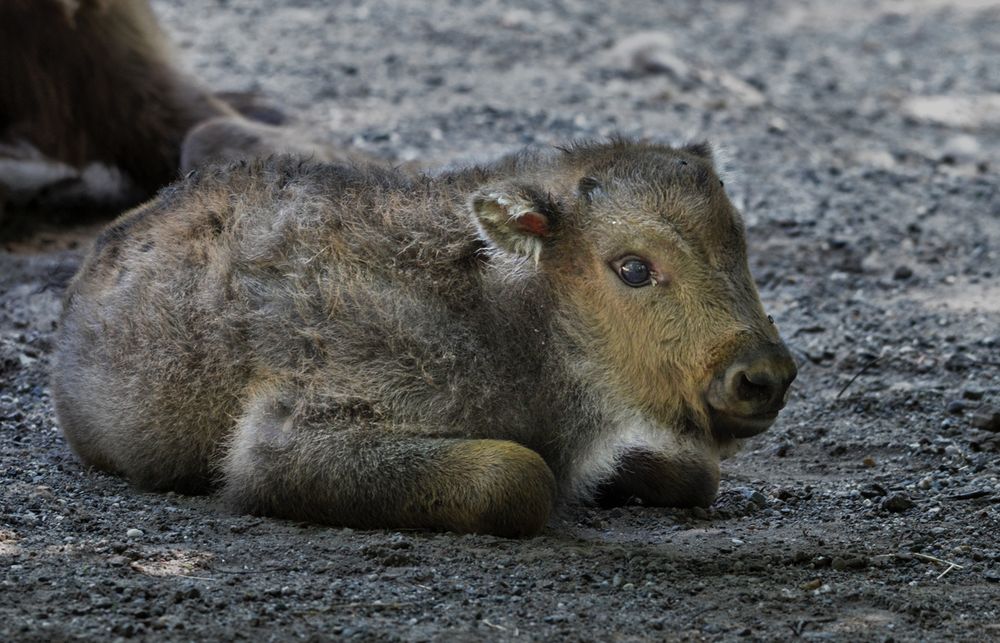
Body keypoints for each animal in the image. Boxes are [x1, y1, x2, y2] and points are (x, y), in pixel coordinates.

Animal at [52, 141, 796, 540]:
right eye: (633, 266)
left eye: (739, 243)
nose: (763, 376)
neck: (513, 318)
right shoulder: (289, 437)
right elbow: (519, 476)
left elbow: (696, 472)